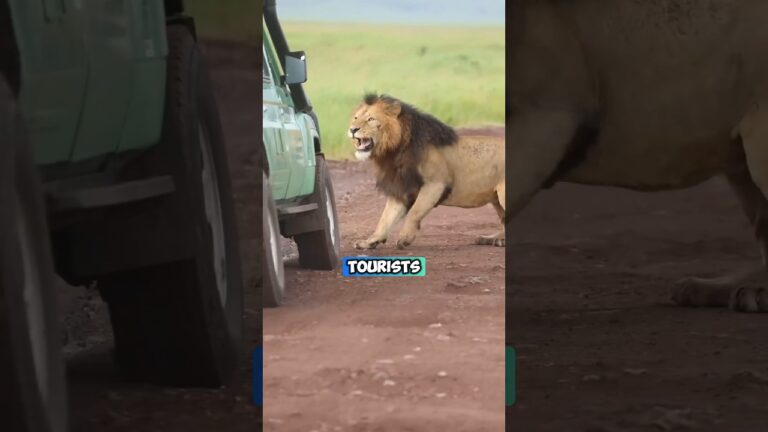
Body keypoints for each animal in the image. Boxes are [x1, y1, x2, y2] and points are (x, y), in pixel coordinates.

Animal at [348, 94, 505, 250]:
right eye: (355, 118)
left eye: (371, 119)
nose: (352, 129)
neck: (394, 152)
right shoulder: (401, 189)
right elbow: (385, 218)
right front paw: (370, 241)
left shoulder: (435, 184)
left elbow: (414, 212)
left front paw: (405, 238)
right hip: (496, 199)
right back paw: (492, 239)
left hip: (502, 194)